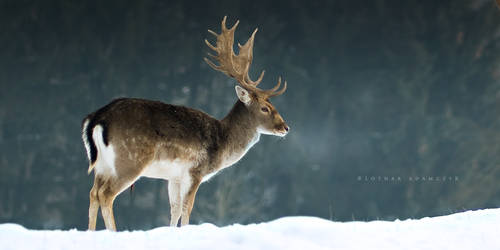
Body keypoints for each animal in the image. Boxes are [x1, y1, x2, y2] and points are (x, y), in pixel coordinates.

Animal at [82, 17, 290, 230]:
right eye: (265, 108)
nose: (285, 127)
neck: (223, 142)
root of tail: (97, 118)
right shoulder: (195, 170)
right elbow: (187, 208)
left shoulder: (174, 177)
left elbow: (174, 209)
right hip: (129, 159)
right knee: (105, 194)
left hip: (102, 165)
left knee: (93, 193)